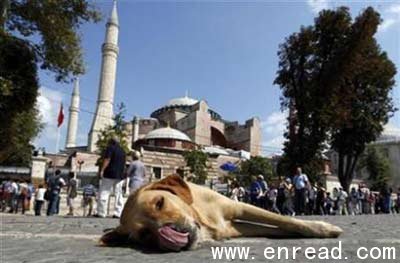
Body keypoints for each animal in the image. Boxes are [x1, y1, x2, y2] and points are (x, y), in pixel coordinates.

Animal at [100, 175, 340, 252]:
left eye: (160, 202)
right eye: (145, 235)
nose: (173, 234)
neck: (201, 216)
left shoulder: (239, 207)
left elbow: (285, 220)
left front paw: (323, 228)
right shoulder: (235, 228)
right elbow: (280, 227)